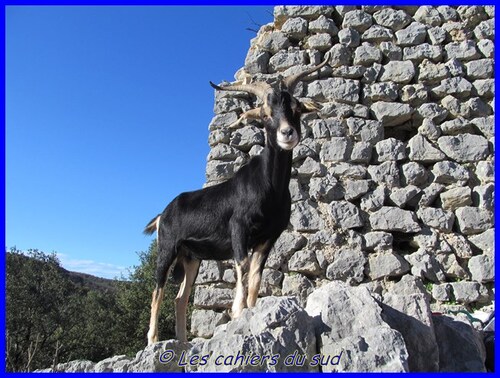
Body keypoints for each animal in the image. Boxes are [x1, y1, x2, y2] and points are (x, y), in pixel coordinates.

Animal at [143, 54, 330, 346]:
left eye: (296, 109)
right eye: (265, 114)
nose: (287, 134)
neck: (268, 189)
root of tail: (164, 213)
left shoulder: (267, 238)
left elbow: (255, 278)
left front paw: (252, 314)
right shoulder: (239, 231)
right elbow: (242, 271)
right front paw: (237, 314)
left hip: (191, 258)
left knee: (180, 298)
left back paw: (183, 343)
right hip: (167, 248)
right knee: (157, 290)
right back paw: (153, 340)